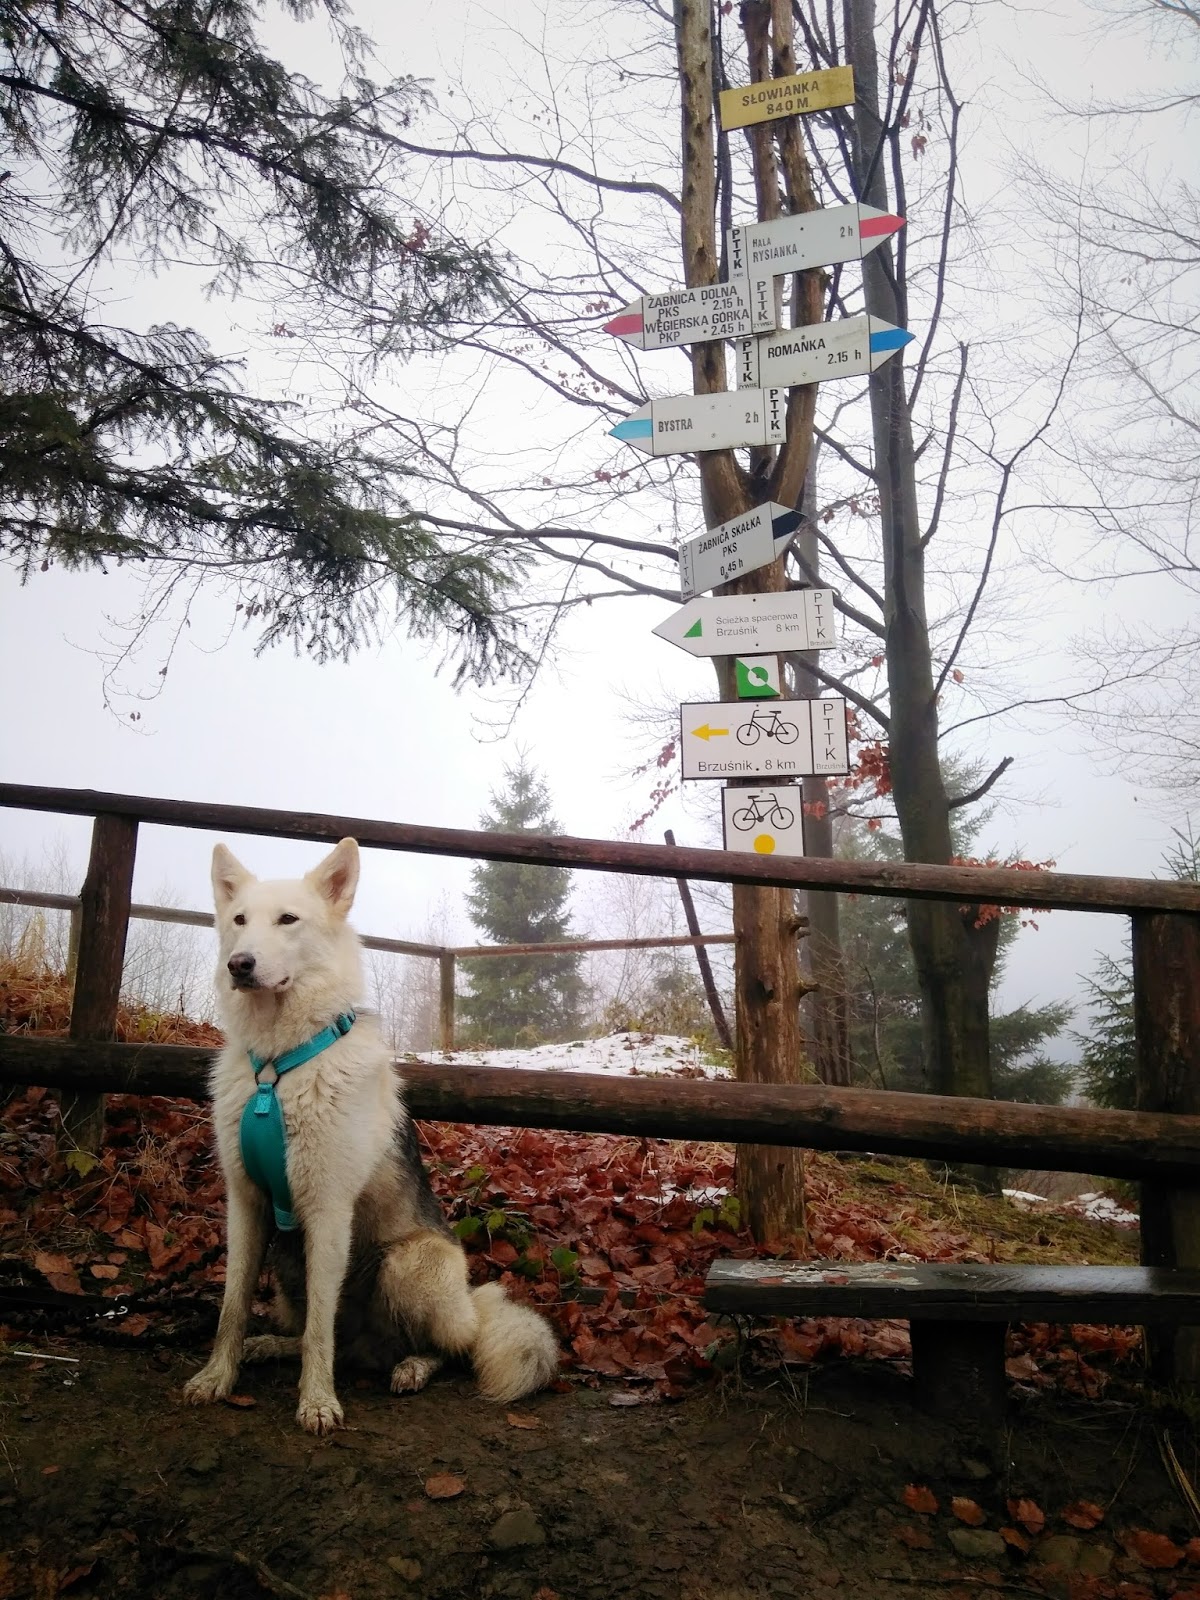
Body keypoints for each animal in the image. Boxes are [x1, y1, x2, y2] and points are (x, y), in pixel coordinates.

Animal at [183, 837, 559, 1434]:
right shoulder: (246, 1206)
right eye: (239, 920)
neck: (277, 1069)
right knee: (323, 1335)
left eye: (288, 920)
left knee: (448, 1348)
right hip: (290, 1268)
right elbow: (233, 1308)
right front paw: (218, 1376)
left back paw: (413, 1366)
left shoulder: (327, 1210)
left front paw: (316, 1401)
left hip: (407, 1264)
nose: (239, 964)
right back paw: (273, 1347)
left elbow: (320, 1328)